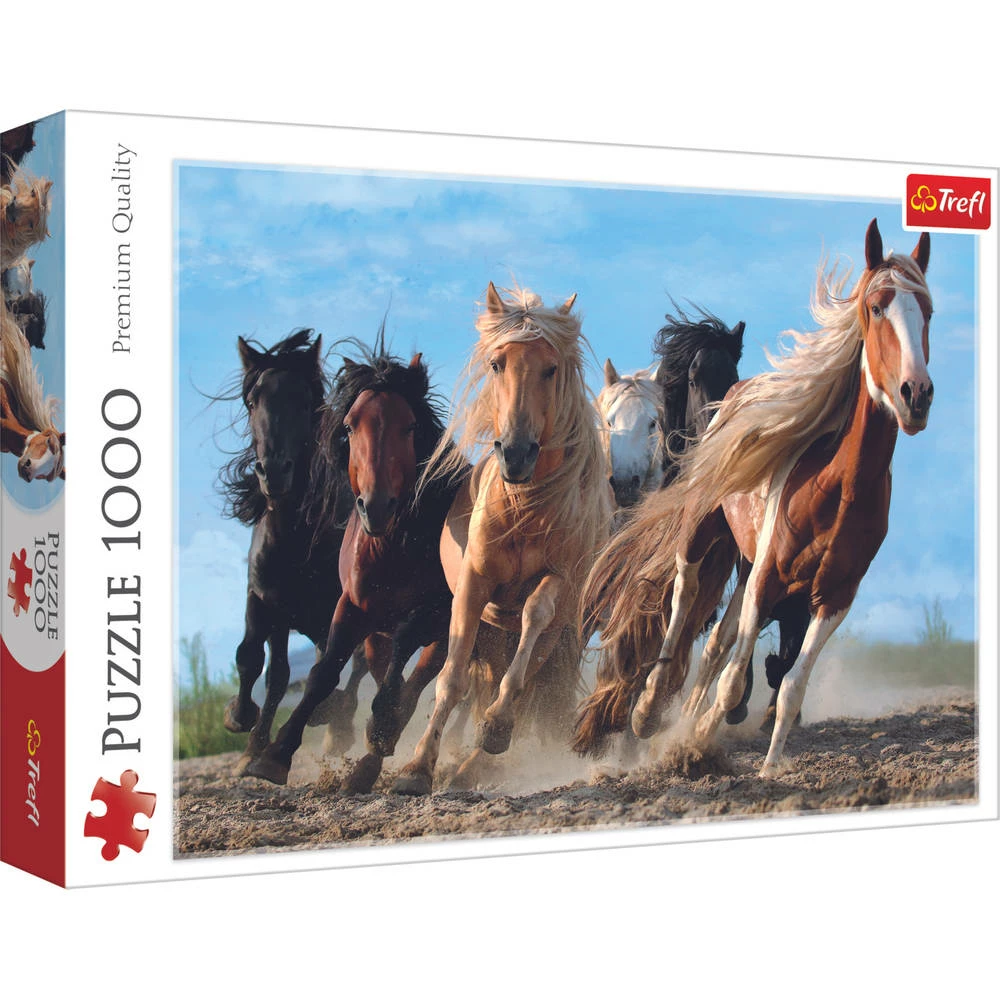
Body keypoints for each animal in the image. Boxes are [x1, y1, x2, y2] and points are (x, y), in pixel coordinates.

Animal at [218, 330, 369, 774]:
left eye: (304, 401)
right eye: (253, 402)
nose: (274, 472)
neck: (295, 539)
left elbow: (331, 667)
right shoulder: (266, 600)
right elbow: (257, 661)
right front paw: (243, 728)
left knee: (355, 664)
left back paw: (337, 727)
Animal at [244, 339, 465, 793]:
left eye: (409, 426)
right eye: (349, 427)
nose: (375, 506)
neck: (394, 546)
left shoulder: (435, 613)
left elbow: (403, 660)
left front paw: (379, 727)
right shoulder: (351, 606)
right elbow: (322, 672)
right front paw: (275, 755)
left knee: (417, 681)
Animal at [391, 282, 613, 796]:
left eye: (551, 368)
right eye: (497, 364)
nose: (515, 454)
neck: (524, 508)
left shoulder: (558, 583)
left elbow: (534, 617)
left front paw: (494, 727)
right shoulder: (474, 586)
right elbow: (451, 679)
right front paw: (416, 767)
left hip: (552, 636)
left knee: (527, 683)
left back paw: (476, 760)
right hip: (493, 633)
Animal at [580, 219, 933, 776]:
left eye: (928, 311)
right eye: (877, 307)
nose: (915, 394)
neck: (838, 488)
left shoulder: (833, 596)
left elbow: (787, 683)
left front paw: (763, 764)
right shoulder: (765, 573)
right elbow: (723, 672)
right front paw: (685, 737)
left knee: (719, 646)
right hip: (703, 531)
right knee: (682, 597)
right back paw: (649, 707)